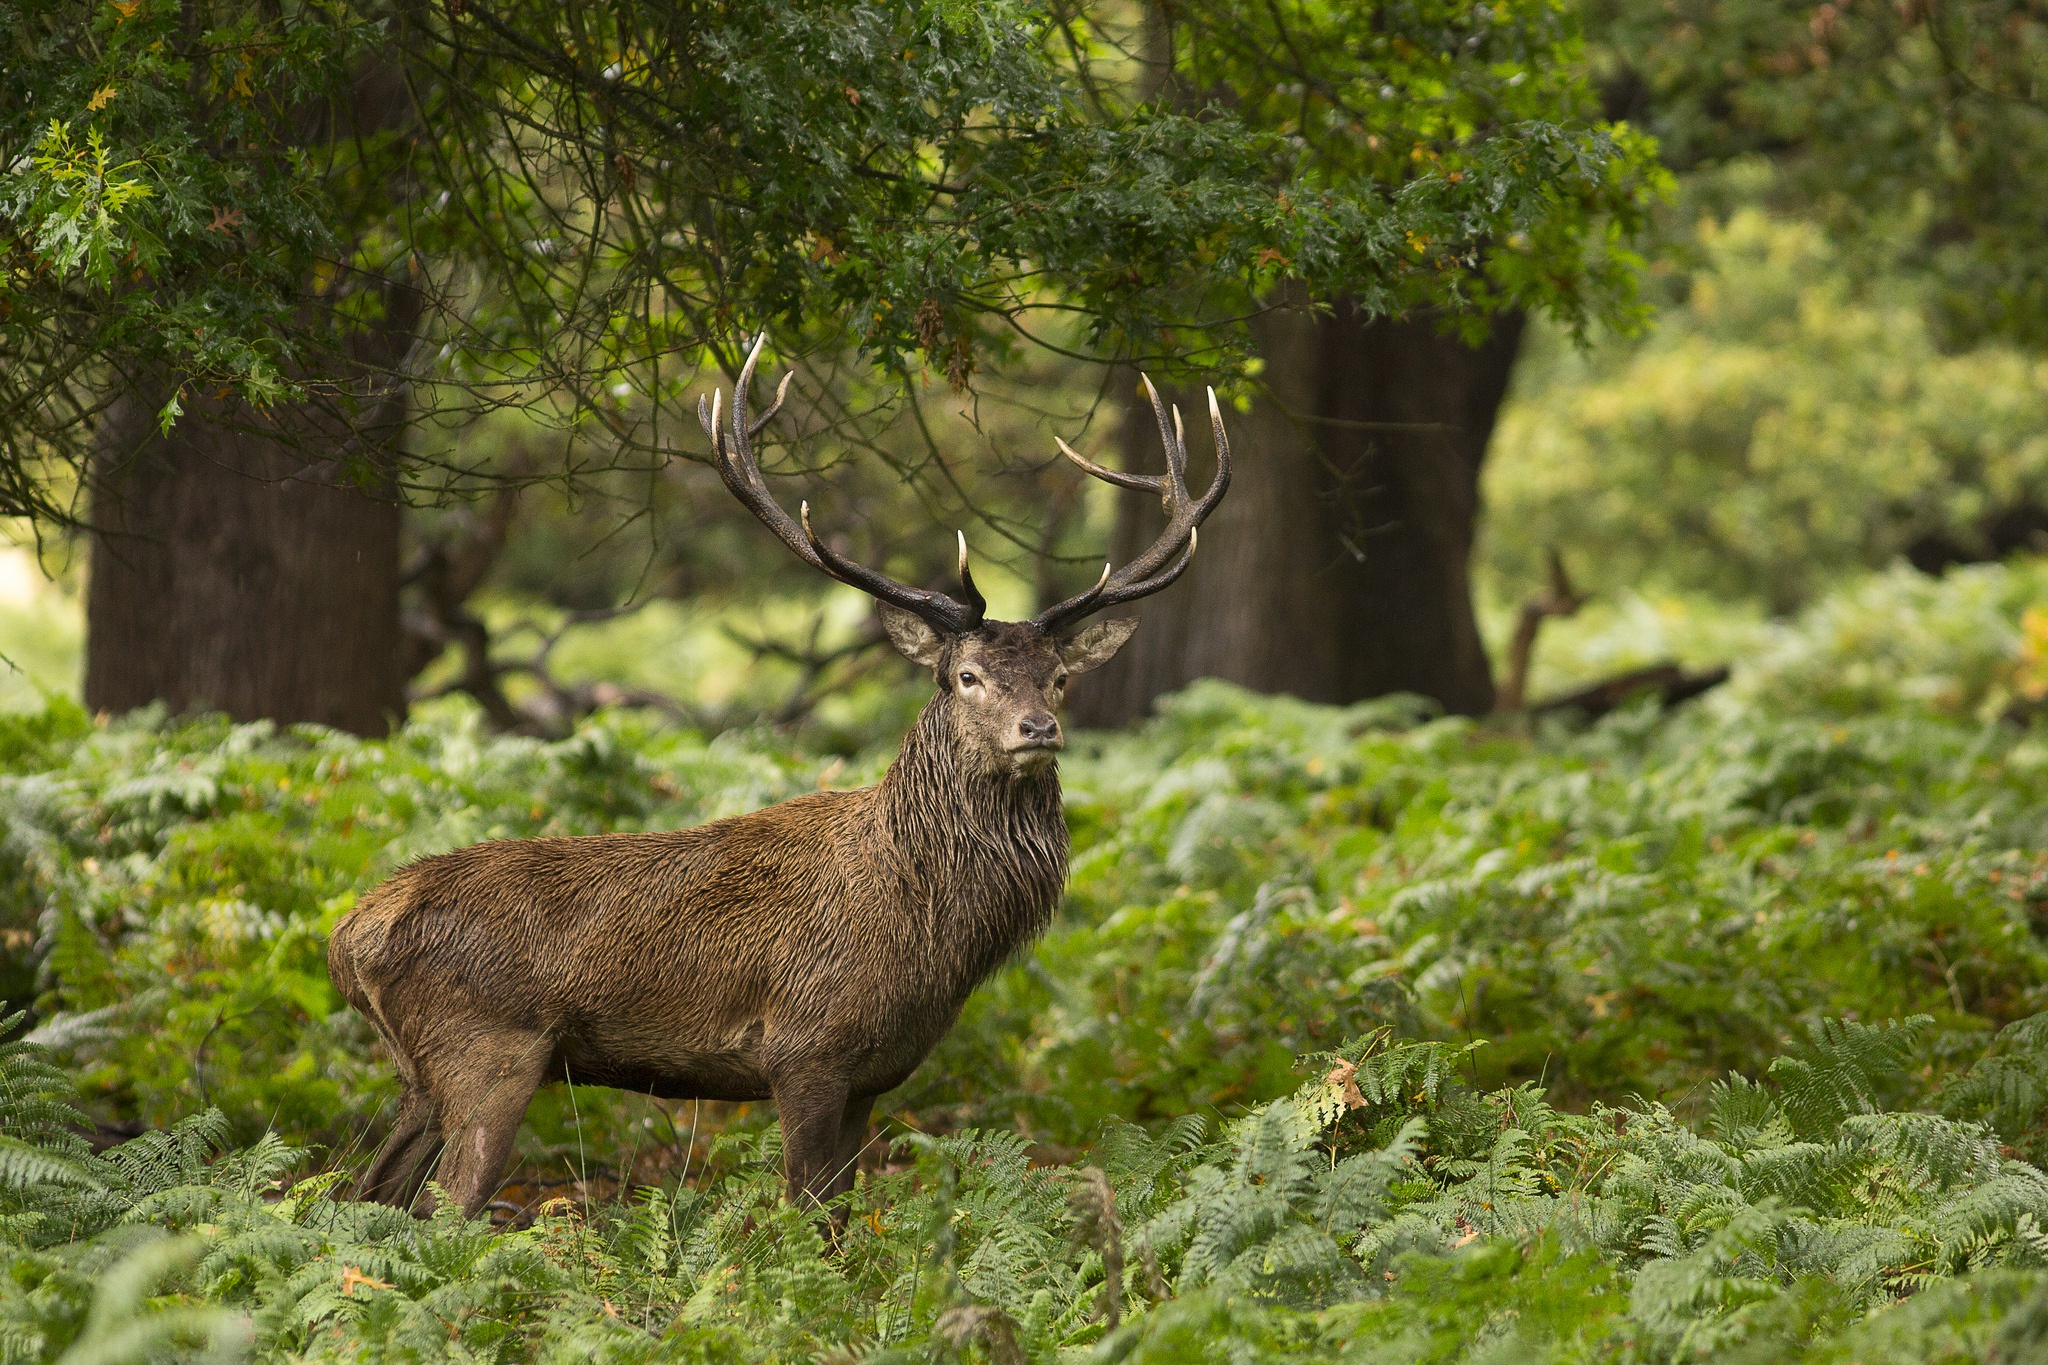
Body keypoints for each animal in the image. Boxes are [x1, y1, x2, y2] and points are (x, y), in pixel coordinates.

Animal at [329, 335, 1228, 1219]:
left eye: (1059, 676)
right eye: (966, 675)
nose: (1039, 729)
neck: (931, 930)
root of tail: (349, 935)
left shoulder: (874, 1076)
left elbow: (842, 1221)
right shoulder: (804, 1050)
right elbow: (804, 1216)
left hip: (424, 1074)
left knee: (367, 1197)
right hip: (489, 1051)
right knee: (447, 1209)